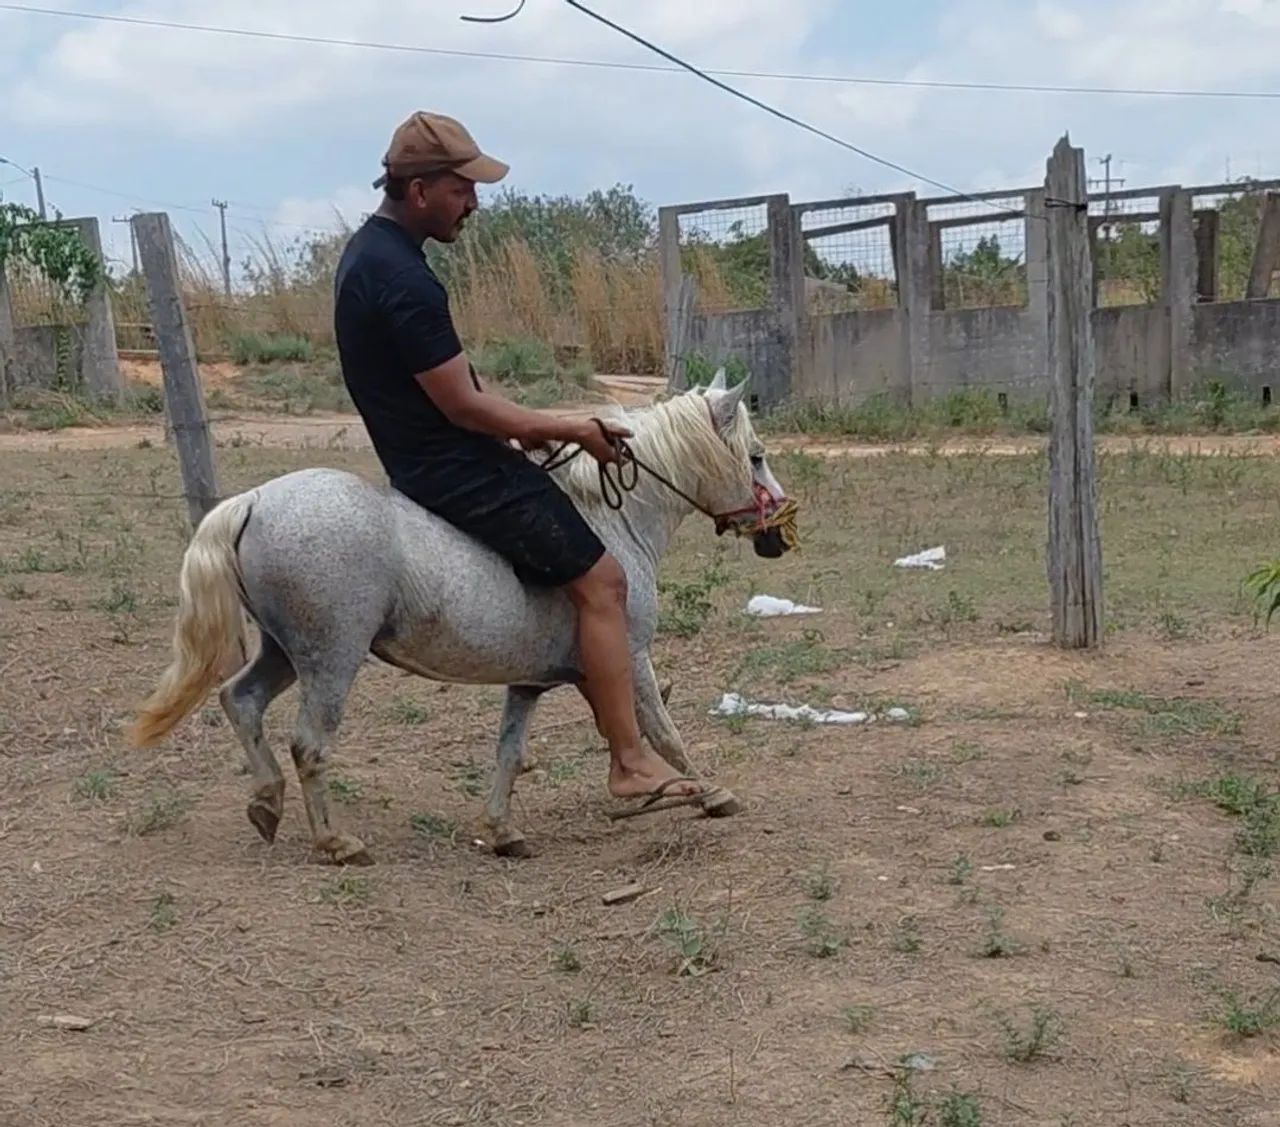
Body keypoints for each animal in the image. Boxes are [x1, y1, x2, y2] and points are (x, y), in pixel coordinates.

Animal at [125, 369, 795, 863]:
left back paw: (266, 803)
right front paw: (699, 791)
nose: (779, 534)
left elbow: (509, 752)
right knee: (309, 743)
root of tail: (255, 499)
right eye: (757, 457)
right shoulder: (631, 654)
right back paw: (335, 842)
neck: (614, 519)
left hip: (283, 650)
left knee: (240, 701)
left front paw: (501, 831)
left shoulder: (529, 681)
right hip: (331, 658)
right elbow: (657, 729)